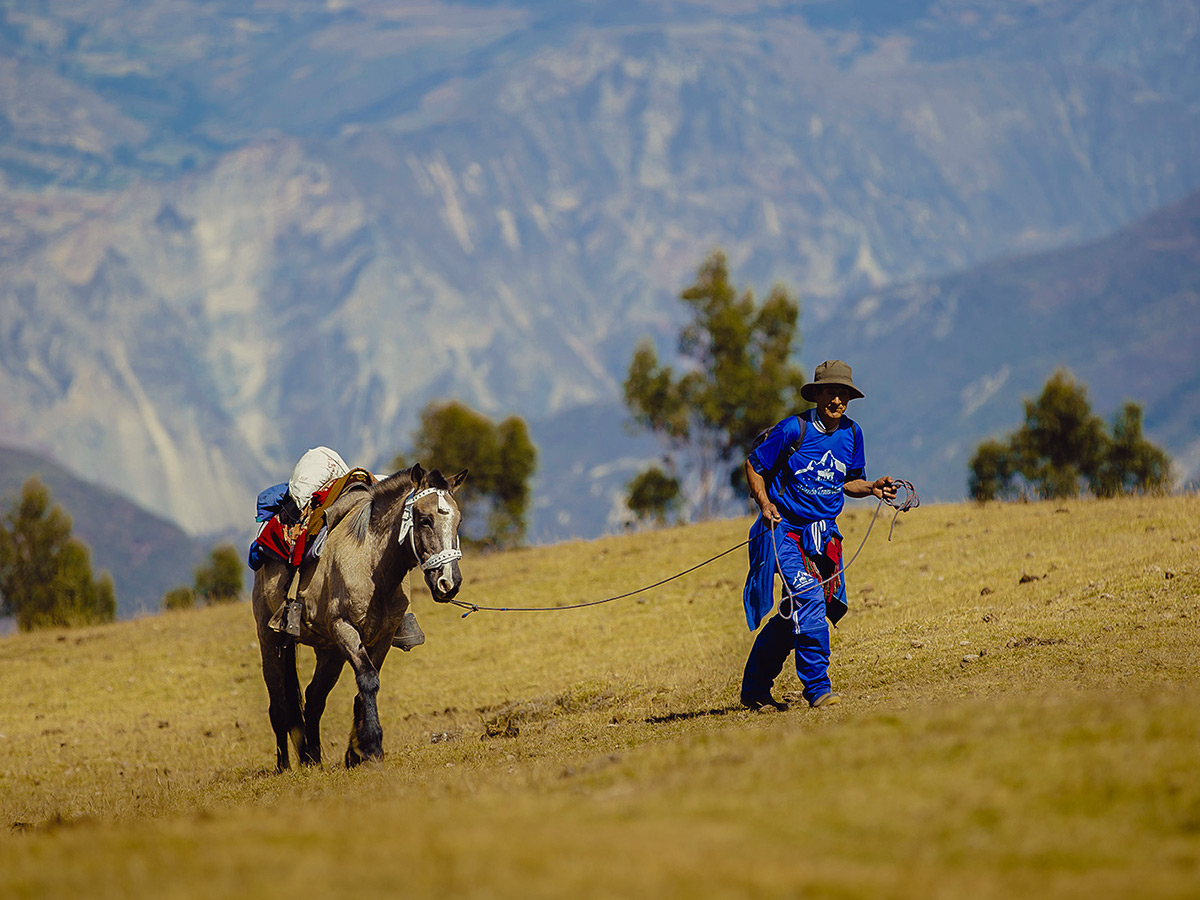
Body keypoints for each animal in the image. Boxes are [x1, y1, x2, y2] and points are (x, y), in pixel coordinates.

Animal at [252, 460, 463, 772]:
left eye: (458, 521)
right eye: (424, 519)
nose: (449, 582)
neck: (371, 564)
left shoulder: (382, 637)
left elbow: (364, 687)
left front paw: (355, 754)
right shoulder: (345, 629)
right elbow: (367, 680)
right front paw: (372, 748)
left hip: (329, 652)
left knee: (314, 699)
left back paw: (312, 758)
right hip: (272, 641)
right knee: (278, 704)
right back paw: (284, 765)